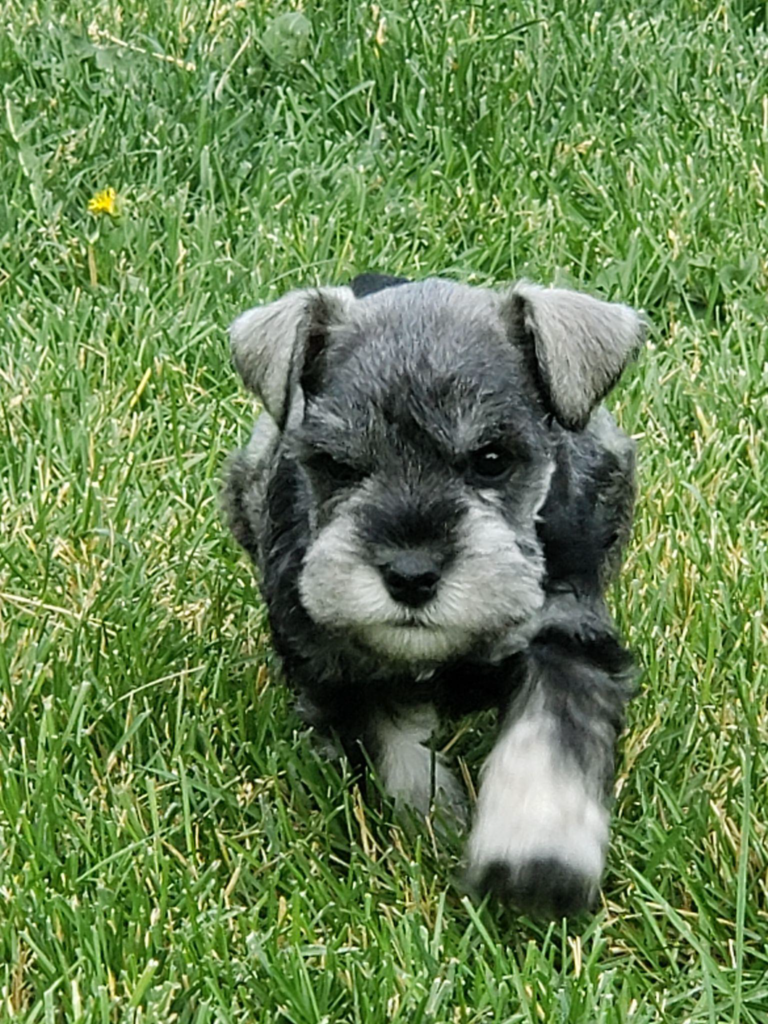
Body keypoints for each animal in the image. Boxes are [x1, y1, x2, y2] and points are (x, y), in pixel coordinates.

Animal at [225, 272, 647, 921]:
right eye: (337, 466)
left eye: (491, 460)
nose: (410, 575)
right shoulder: (343, 663)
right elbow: (397, 751)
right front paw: (432, 825)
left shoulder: (566, 629)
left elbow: (552, 736)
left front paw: (535, 856)